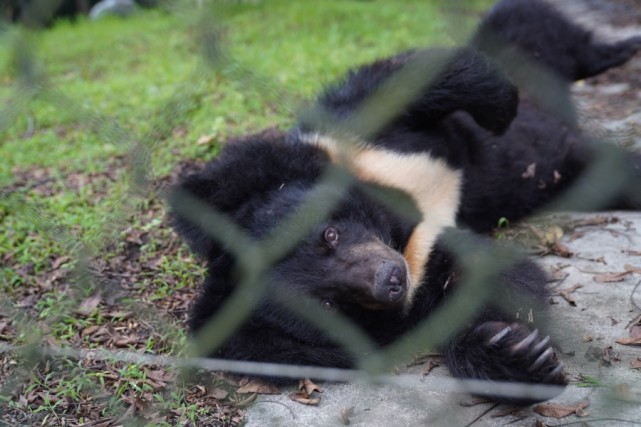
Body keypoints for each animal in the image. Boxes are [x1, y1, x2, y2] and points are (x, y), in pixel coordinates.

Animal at [170, 0, 640, 404]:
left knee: (535, 29)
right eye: (328, 306)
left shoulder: (348, 137)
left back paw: (621, 47)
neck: (399, 220)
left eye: (329, 233)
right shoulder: (424, 262)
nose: (390, 278)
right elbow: (483, 277)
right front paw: (517, 356)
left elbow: (412, 79)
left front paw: (500, 110)